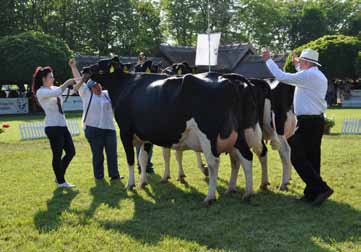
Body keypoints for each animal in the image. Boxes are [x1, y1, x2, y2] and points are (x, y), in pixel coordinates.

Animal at [82, 57, 262, 203]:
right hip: (237, 134)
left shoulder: (125, 131)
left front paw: (130, 184)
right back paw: (246, 192)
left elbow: (131, 159)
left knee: (214, 162)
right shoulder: (146, 135)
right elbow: (143, 158)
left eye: (99, 65)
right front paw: (143, 182)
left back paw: (210, 196)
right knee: (245, 157)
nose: (84, 69)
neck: (125, 85)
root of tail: (227, 78)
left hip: (208, 134)